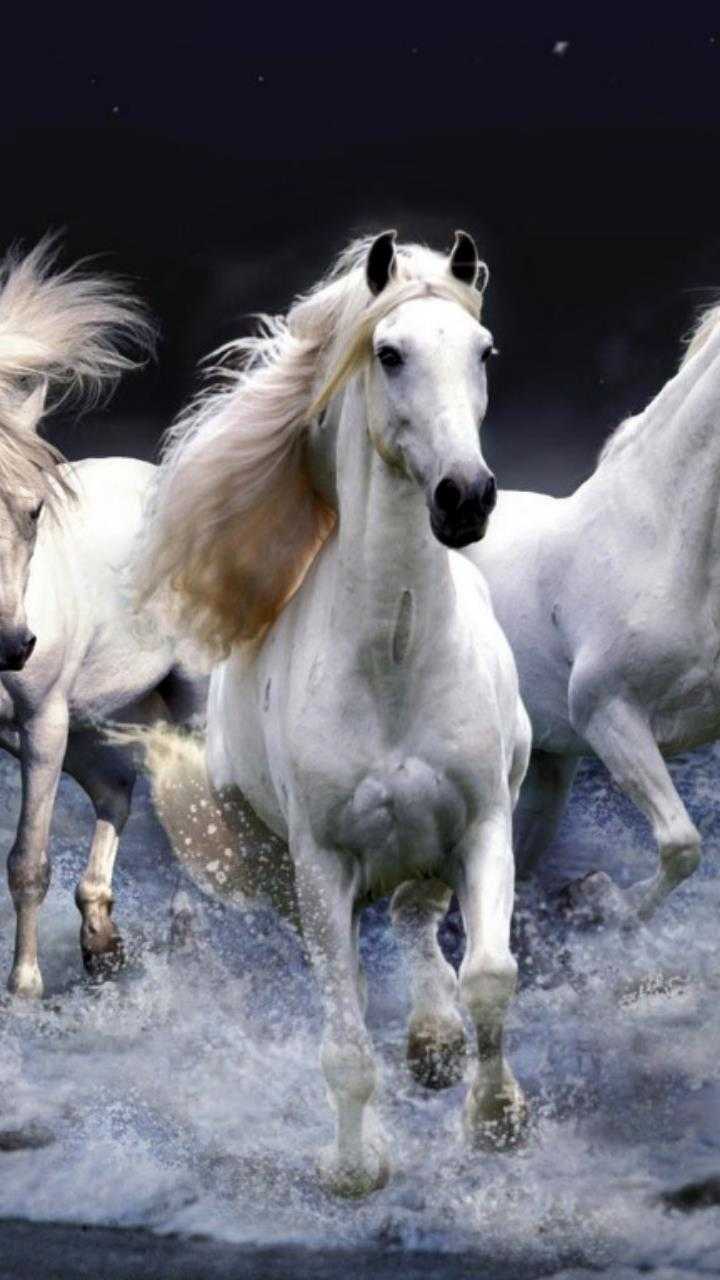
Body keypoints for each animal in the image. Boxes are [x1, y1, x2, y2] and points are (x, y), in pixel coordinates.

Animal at [0, 236, 203, 999]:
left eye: (34, 511)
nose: (14, 647)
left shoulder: (41, 723)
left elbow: (27, 861)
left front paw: (25, 990)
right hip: (89, 723)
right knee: (116, 794)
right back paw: (101, 939)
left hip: (183, 702)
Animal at [135, 230, 532, 1197]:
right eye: (388, 354)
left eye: (484, 352)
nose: (465, 497)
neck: (394, 659)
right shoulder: (321, 865)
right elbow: (345, 1041)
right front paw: (356, 1169)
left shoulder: (483, 823)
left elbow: (490, 974)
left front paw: (496, 1120)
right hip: (282, 869)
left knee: (420, 917)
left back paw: (434, 1043)